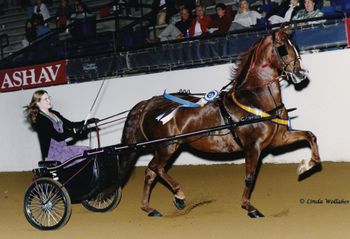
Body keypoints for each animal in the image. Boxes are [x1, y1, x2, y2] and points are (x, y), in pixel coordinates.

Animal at [119, 26, 320, 218]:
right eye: (283, 48)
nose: (301, 74)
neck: (256, 99)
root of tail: (148, 103)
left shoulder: (278, 139)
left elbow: (310, 136)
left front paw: (307, 166)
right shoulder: (253, 146)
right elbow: (249, 177)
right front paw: (250, 208)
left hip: (167, 147)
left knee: (150, 173)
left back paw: (149, 208)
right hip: (166, 146)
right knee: (154, 167)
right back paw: (179, 195)